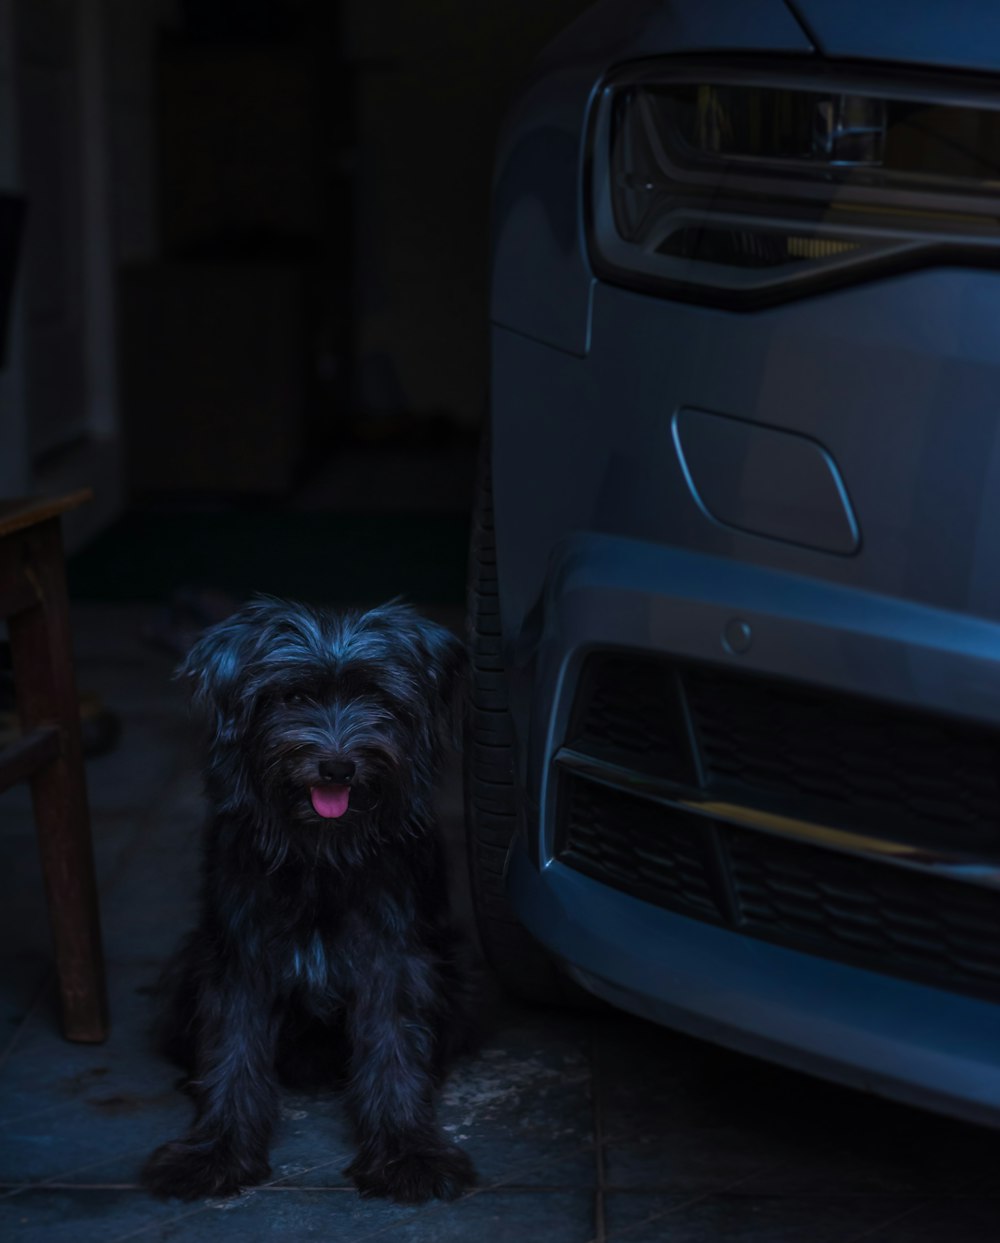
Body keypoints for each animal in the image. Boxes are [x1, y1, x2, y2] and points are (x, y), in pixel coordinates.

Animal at [141, 601, 479, 1203]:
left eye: (376, 696)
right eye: (292, 696)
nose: (338, 767)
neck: (321, 856)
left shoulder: (394, 957)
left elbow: (394, 1049)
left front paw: (408, 1153)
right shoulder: (238, 956)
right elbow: (233, 1051)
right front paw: (214, 1153)